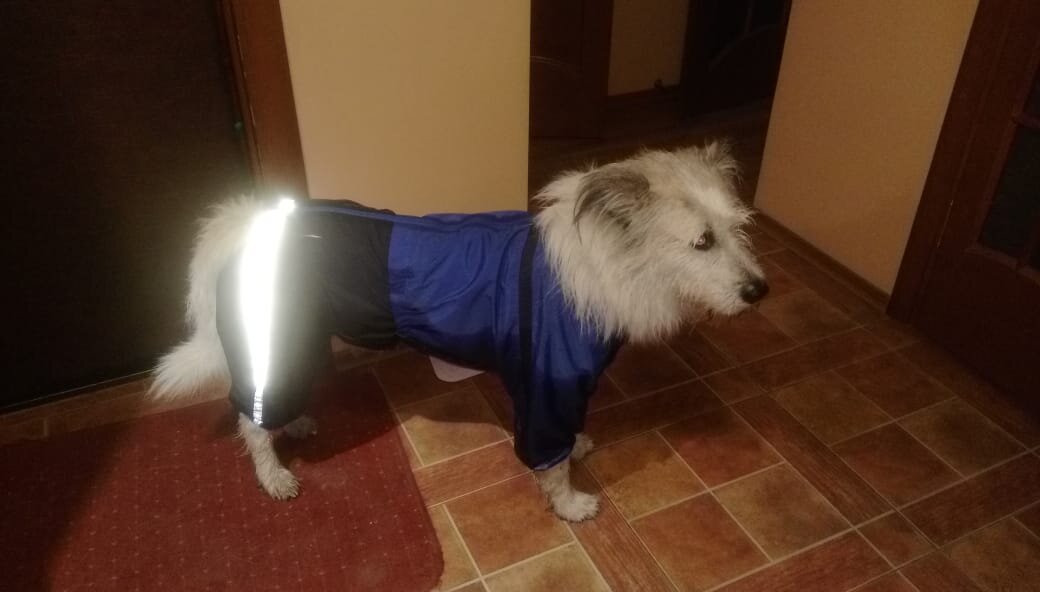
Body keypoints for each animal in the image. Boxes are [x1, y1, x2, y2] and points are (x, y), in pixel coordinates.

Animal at [150, 142, 768, 522]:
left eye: (738, 228)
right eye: (702, 242)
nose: (760, 291)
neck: (606, 260)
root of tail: (244, 223)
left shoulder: (556, 389)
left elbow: (566, 441)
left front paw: (579, 447)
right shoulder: (548, 389)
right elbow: (551, 463)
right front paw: (570, 506)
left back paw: (296, 423)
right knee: (248, 420)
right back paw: (274, 474)